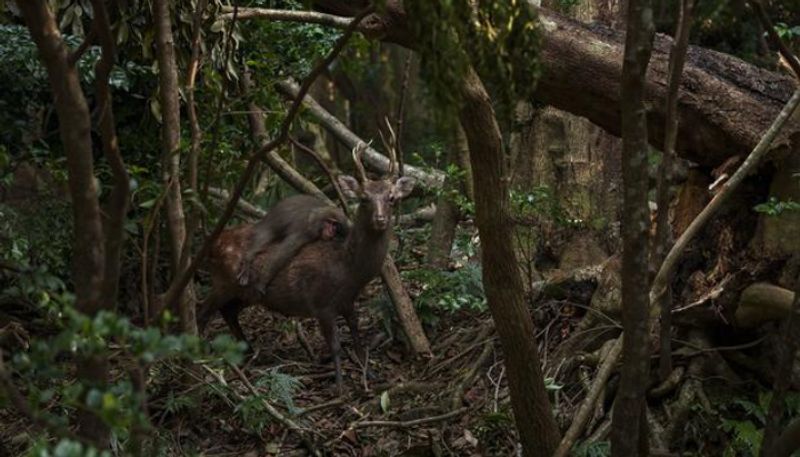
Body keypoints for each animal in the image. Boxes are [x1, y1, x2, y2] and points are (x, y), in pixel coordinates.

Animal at [198, 137, 416, 390]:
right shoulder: (320, 303)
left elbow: (357, 340)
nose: (380, 219)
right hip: (222, 282)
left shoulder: (348, 302)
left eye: (392, 198)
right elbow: (336, 346)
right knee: (202, 312)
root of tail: (211, 245)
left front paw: (369, 375)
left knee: (228, 311)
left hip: (245, 294)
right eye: (363, 198)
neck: (348, 271)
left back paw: (249, 352)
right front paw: (340, 387)